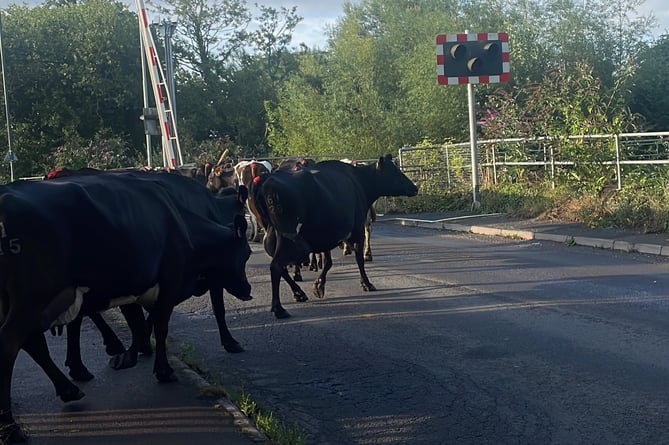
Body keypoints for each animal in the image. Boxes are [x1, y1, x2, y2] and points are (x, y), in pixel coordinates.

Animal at [0, 170, 250, 440]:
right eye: (246, 253)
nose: (248, 291)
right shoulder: (172, 281)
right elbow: (163, 325)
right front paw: (162, 369)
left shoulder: (137, 284)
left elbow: (142, 323)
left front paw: (129, 355)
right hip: (33, 299)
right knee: (11, 343)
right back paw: (11, 427)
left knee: (34, 342)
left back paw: (69, 387)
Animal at [252, 154, 418, 318]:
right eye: (394, 171)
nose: (415, 187)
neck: (360, 182)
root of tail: (268, 182)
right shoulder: (356, 229)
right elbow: (358, 260)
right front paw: (367, 283)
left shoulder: (327, 235)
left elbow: (328, 262)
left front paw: (319, 285)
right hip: (291, 237)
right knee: (276, 265)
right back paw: (279, 308)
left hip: (273, 237)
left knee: (280, 266)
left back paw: (299, 293)